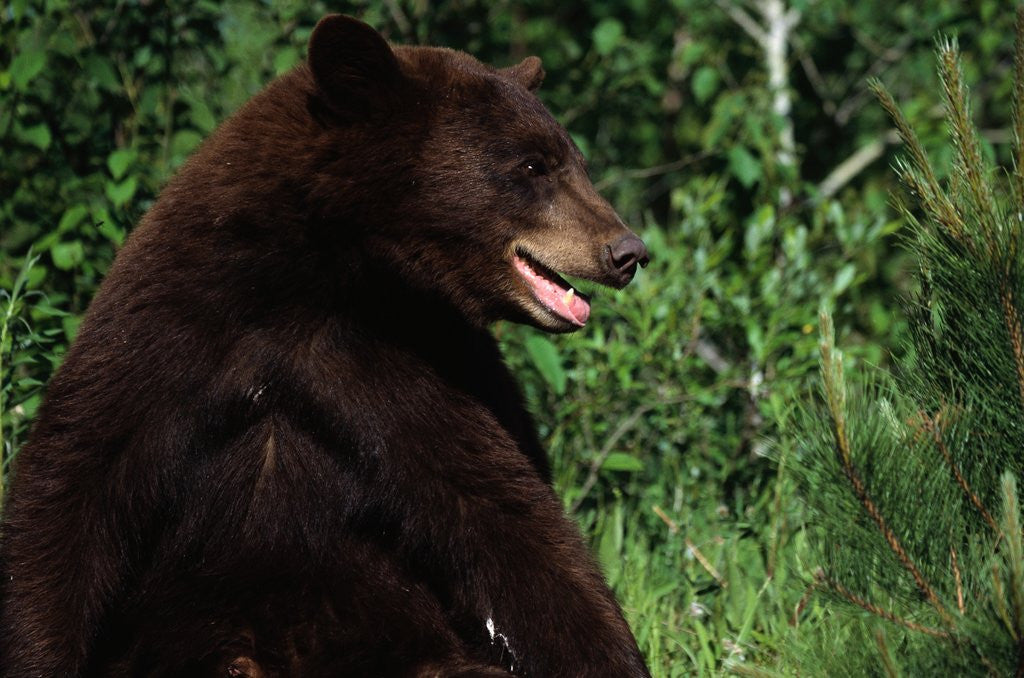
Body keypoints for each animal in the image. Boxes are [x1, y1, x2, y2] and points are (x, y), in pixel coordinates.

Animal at [0, 14, 651, 677]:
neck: (328, 275)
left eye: (574, 161)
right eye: (532, 166)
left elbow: (505, 515)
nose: (628, 251)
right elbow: (78, 481)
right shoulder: (176, 323)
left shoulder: (423, 363)